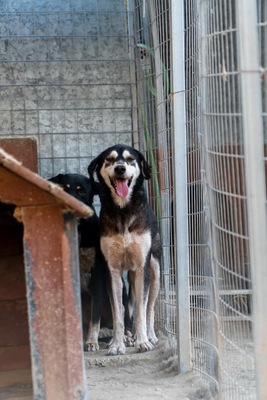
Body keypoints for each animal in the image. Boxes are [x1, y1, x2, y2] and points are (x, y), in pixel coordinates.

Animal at [89, 144, 162, 356]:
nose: (120, 169)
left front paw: (143, 342)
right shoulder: (111, 270)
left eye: (130, 159)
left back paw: (149, 336)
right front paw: (116, 344)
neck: (122, 210)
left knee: (149, 309)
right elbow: (118, 313)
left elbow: (141, 310)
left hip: (155, 272)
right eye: (110, 159)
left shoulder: (142, 267)